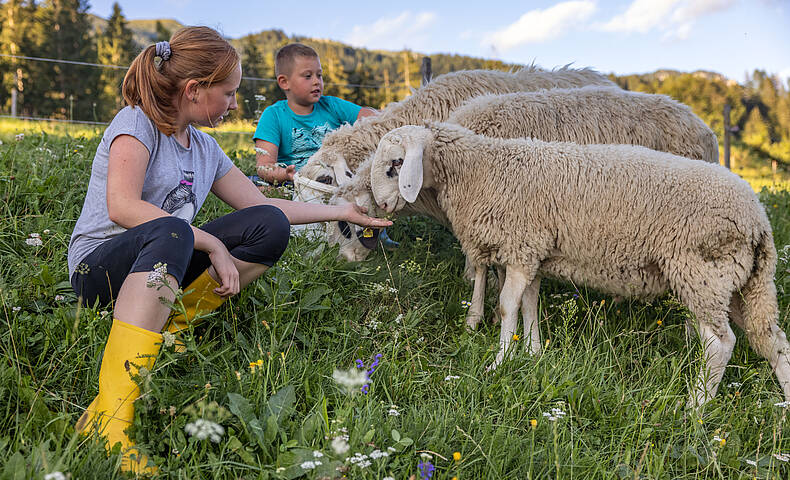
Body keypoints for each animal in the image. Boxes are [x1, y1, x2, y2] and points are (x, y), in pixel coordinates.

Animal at [370, 122, 790, 406]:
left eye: (396, 164)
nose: (381, 205)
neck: (481, 169)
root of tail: (758, 219)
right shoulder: (532, 253)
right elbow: (529, 305)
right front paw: (533, 354)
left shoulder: (521, 247)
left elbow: (506, 307)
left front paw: (499, 364)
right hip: (741, 283)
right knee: (773, 341)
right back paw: (784, 406)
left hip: (701, 273)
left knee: (721, 344)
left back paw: (694, 408)